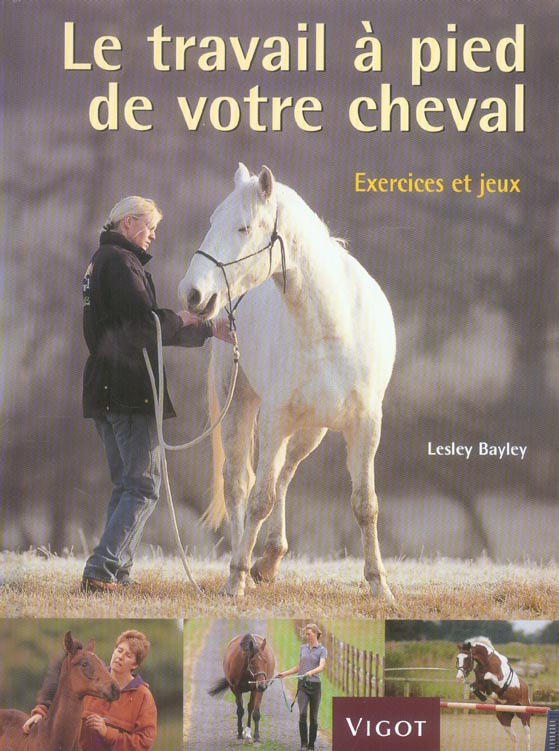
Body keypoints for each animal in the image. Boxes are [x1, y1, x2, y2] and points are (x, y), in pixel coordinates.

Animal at [178, 163, 396, 601]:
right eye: (212, 222)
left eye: (244, 227)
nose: (193, 294)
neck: (333, 325)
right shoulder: (275, 418)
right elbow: (258, 499)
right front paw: (236, 577)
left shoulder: (366, 424)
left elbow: (365, 504)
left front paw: (379, 585)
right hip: (241, 406)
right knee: (240, 484)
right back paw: (246, 564)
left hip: (310, 430)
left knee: (283, 475)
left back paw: (270, 559)